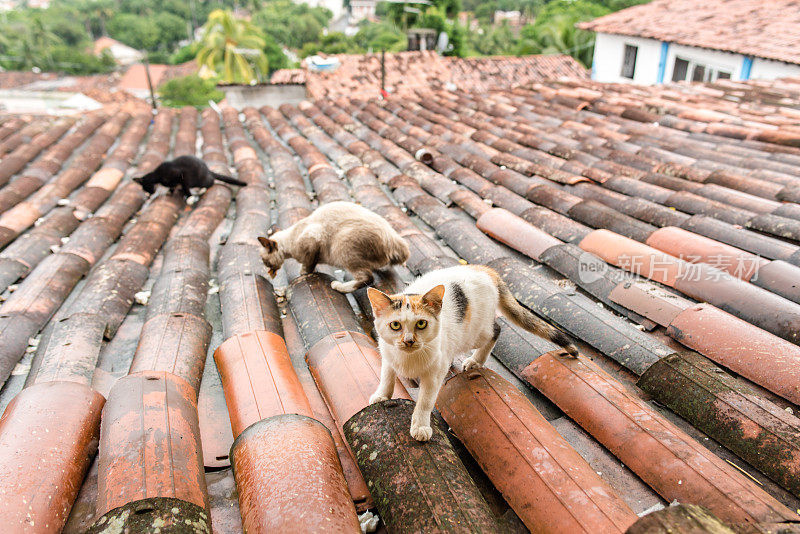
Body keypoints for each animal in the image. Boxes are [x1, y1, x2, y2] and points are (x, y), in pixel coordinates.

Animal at [260, 202, 410, 296]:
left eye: (265, 261)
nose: (268, 270)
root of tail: (393, 237)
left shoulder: (313, 240)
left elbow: (307, 265)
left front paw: (304, 273)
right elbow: (311, 263)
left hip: (342, 246)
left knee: (367, 278)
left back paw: (338, 286)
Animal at [368, 264, 576, 444]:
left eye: (421, 324)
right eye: (395, 325)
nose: (409, 341)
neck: (408, 357)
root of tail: (485, 270)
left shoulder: (434, 374)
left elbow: (425, 401)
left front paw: (420, 426)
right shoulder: (387, 353)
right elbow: (387, 376)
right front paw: (382, 395)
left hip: (477, 333)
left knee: (496, 329)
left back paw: (476, 360)